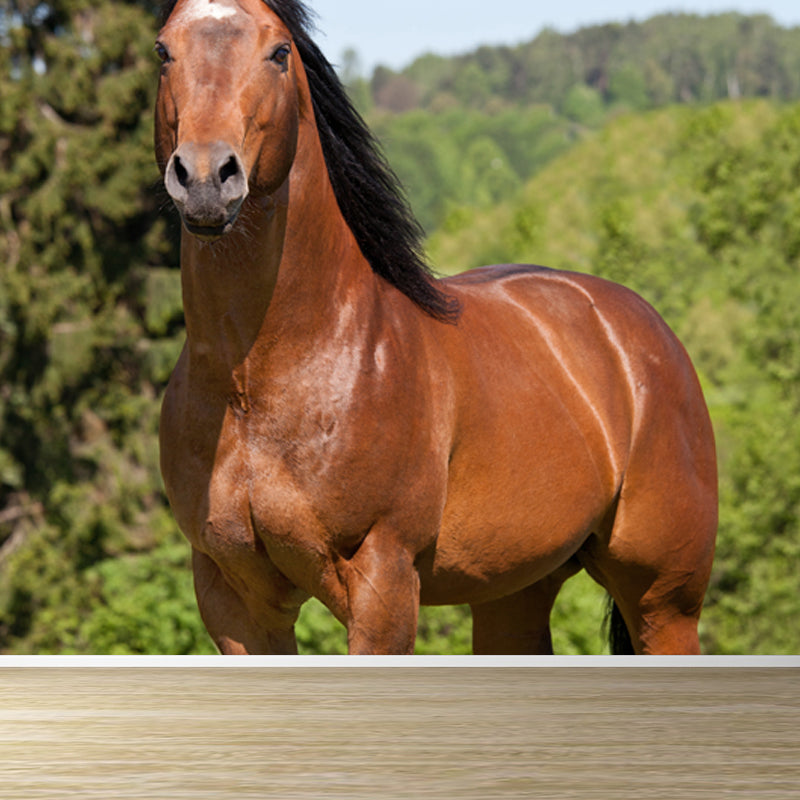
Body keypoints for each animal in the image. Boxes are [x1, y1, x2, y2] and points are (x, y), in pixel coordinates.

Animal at [154, 0, 718, 654]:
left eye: (279, 52)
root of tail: (643, 334)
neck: (262, 380)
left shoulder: (384, 585)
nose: (205, 178)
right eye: (163, 50)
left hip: (664, 603)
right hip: (513, 591)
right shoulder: (235, 600)